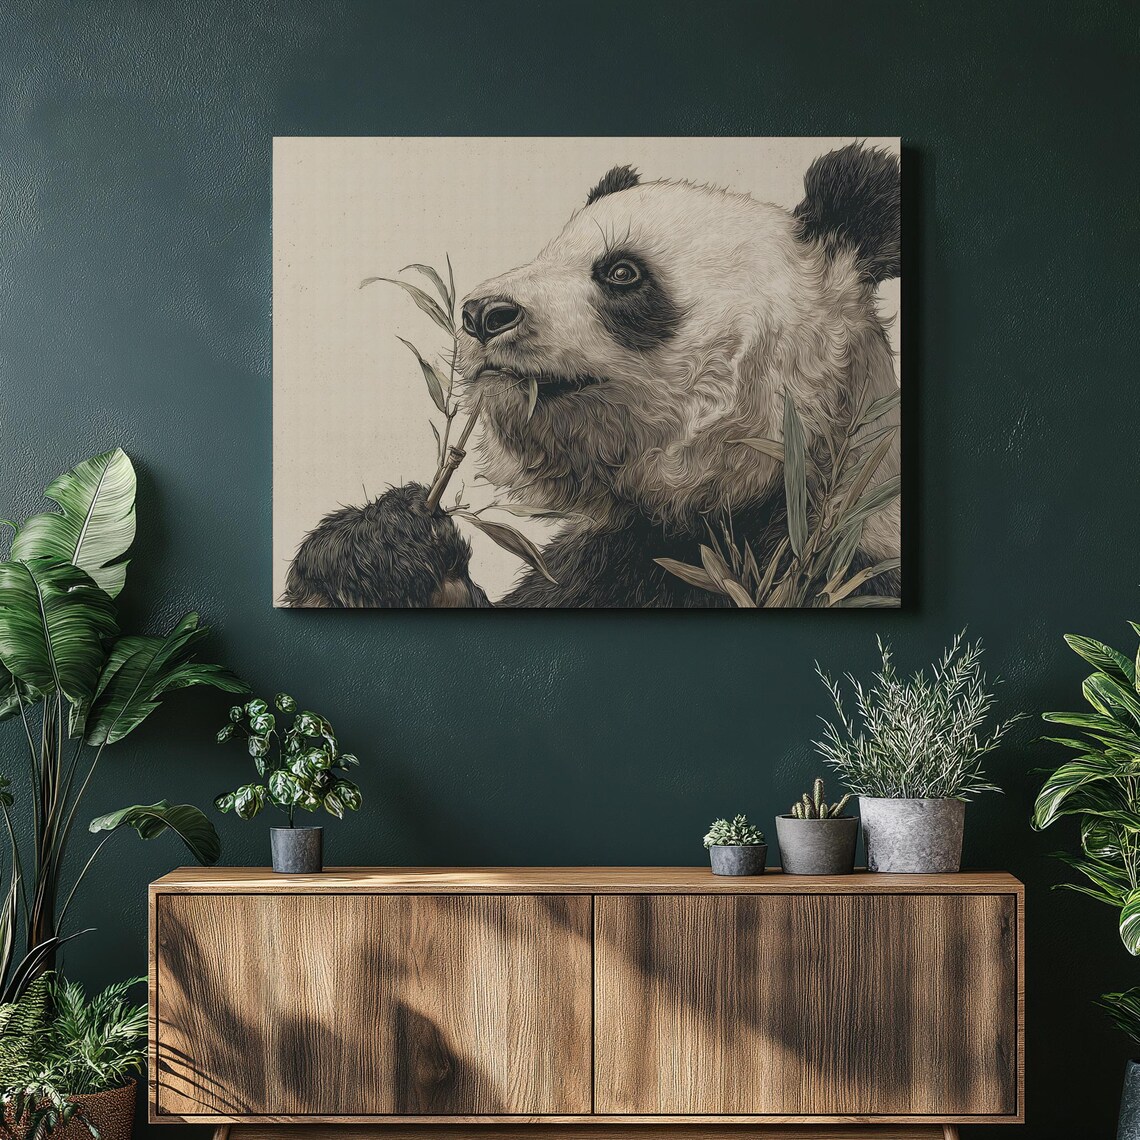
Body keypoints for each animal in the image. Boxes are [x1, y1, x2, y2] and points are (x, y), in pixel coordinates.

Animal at [283, 143, 900, 609]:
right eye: (546, 254)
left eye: (621, 272)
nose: (481, 315)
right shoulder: (595, 561)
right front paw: (378, 546)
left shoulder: (837, 564)